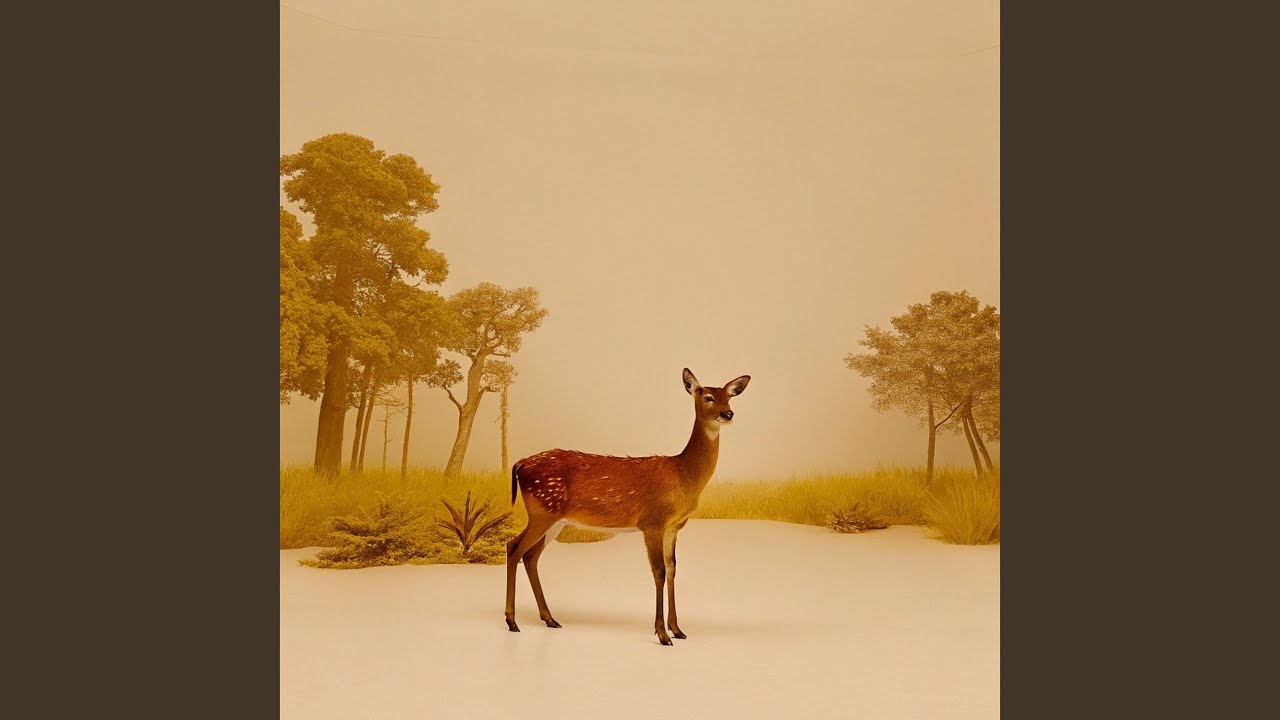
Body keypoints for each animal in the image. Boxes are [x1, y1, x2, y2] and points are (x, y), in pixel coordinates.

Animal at [504, 367, 750, 645]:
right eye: (708, 397)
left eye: (729, 397)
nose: (727, 414)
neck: (683, 476)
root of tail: (519, 464)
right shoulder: (652, 522)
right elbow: (658, 571)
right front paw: (662, 634)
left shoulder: (674, 526)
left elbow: (673, 569)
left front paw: (678, 629)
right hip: (542, 510)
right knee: (513, 548)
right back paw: (512, 621)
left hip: (555, 519)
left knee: (530, 555)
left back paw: (549, 618)